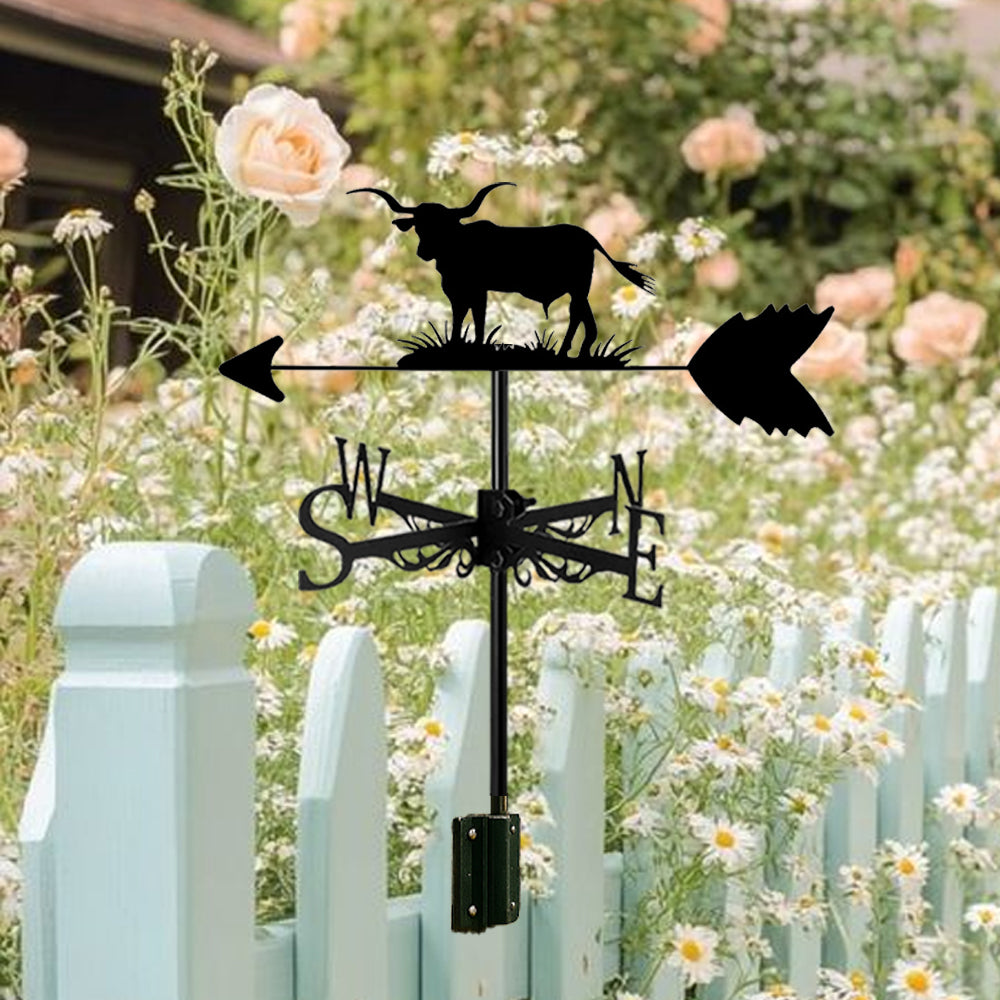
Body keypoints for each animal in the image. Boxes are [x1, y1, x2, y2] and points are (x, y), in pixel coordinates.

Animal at [347, 182, 655, 357]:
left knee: (577, 316)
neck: (458, 247)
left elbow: (478, 318)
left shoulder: (478, 289)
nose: (423, 252)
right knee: (585, 319)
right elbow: (459, 317)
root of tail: (588, 237)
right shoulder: (457, 292)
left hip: (578, 287)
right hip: (580, 289)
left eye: (444, 227)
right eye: (419, 227)